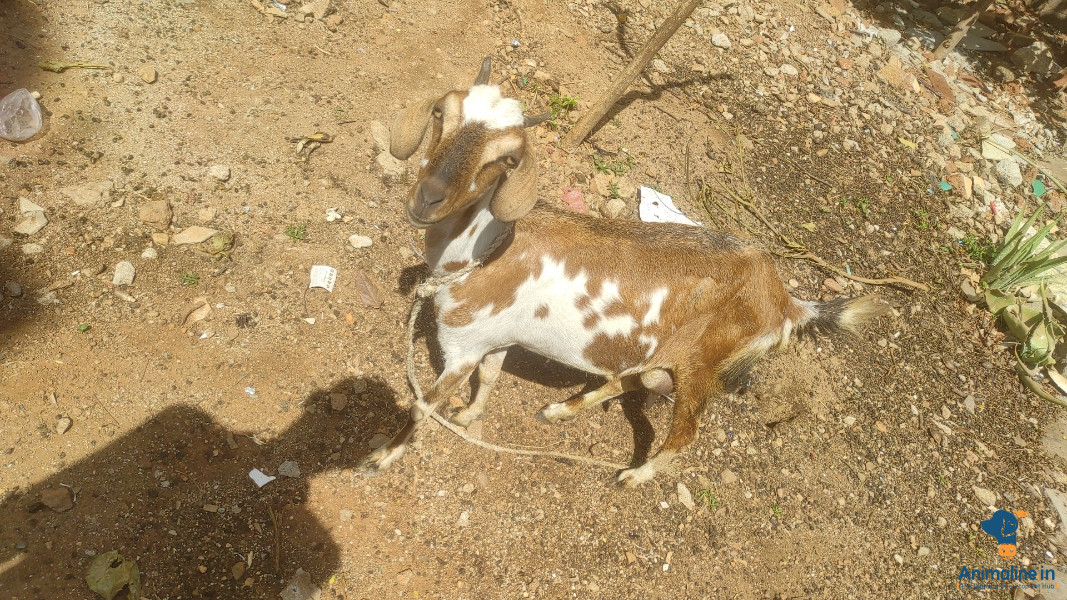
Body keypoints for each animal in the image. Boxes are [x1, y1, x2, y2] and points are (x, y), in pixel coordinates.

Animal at [366, 57, 889, 486]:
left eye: (508, 158)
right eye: (441, 114)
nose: (428, 198)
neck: (481, 252)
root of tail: (783, 299)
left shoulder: (464, 347)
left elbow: (421, 406)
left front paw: (381, 457)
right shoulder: (493, 339)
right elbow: (491, 379)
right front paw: (469, 416)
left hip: (701, 368)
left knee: (684, 433)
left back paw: (634, 476)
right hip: (662, 357)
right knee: (629, 380)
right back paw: (560, 410)